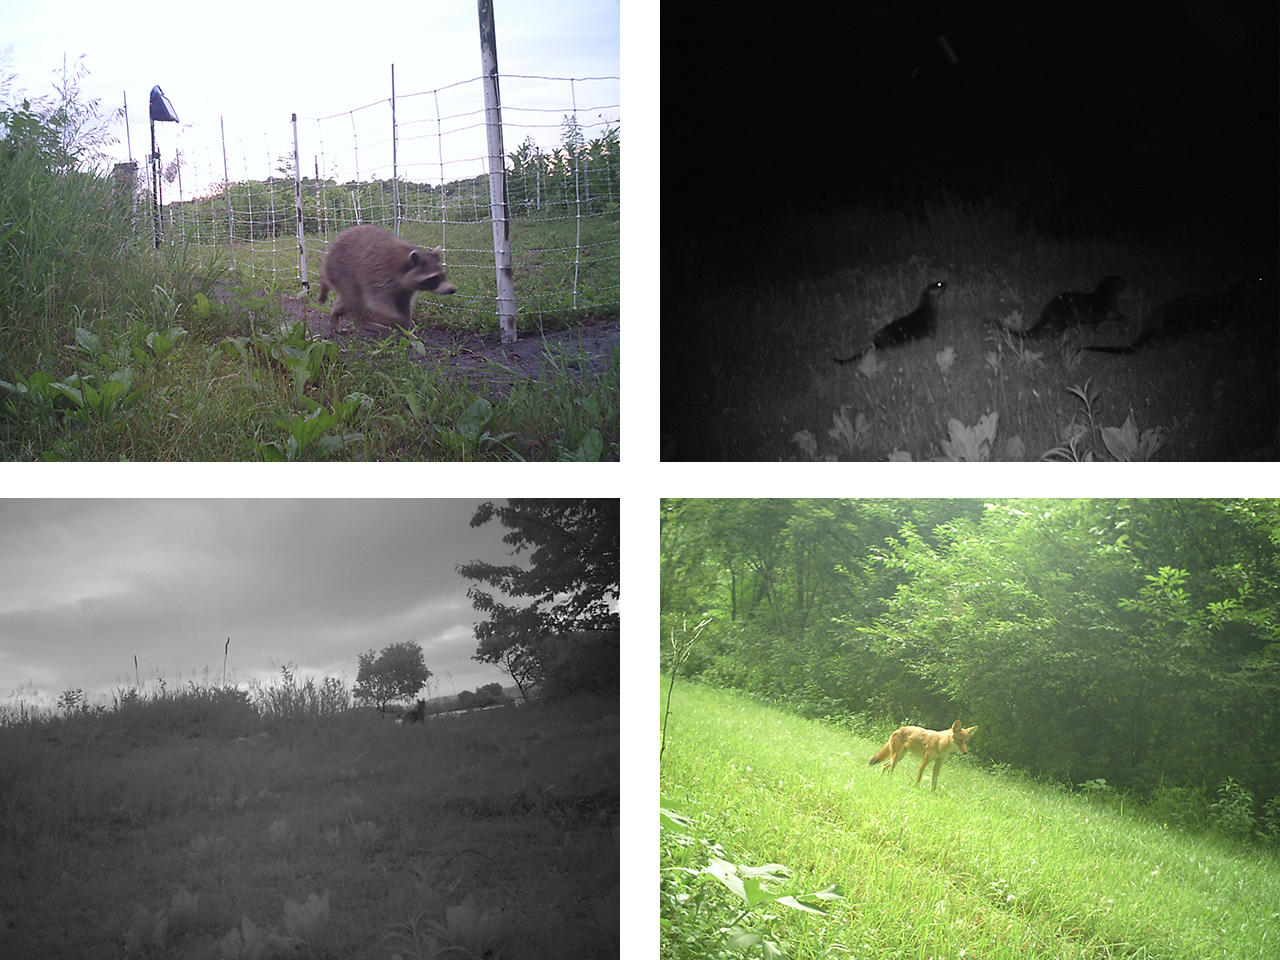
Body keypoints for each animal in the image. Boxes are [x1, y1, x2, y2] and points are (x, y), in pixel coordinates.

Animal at [318, 225, 455, 335]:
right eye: (434, 278)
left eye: (443, 275)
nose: (452, 289)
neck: (405, 266)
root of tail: (326, 258)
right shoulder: (378, 275)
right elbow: (377, 301)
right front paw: (397, 319)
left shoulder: (405, 290)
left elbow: (405, 306)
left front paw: (407, 329)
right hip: (341, 272)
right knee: (355, 298)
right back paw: (364, 321)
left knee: (346, 301)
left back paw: (335, 315)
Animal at [1085, 272, 1274, 355]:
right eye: (1261, 279)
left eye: (1265, 276)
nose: (1272, 279)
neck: (1235, 300)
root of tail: (1156, 317)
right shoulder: (1231, 319)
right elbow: (1232, 333)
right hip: (1176, 326)